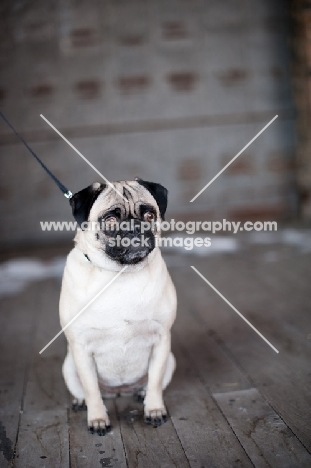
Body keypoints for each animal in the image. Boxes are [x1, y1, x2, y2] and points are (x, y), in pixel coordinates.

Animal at [58, 178, 176, 436]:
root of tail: (119, 391)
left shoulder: (162, 340)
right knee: (85, 390)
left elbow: (155, 382)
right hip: (69, 365)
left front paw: (154, 409)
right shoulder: (81, 348)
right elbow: (91, 389)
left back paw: (141, 393)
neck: (121, 274)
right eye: (111, 219)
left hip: (170, 360)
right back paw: (81, 402)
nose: (135, 227)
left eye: (150, 215)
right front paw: (98, 419)